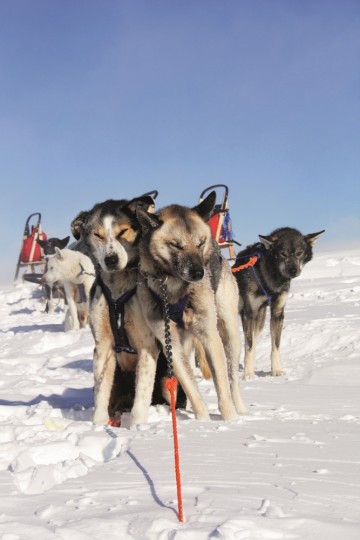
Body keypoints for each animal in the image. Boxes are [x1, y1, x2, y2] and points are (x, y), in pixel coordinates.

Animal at [129, 192, 248, 428]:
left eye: (200, 242)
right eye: (176, 245)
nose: (198, 273)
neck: (174, 288)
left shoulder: (209, 335)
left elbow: (222, 385)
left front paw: (229, 421)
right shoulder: (170, 342)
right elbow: (192, 389)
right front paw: (202, 422)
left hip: (229, 332)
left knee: (232, 379)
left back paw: (240, 409)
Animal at [232, 228, 324, 380]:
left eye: (299, 253)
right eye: (283, 254)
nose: (293, 270)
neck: (271, 277)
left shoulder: (277, 313)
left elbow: (275, 346)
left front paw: (276, 370)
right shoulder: (250, 313)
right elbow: (249, 347)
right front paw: (248, 374)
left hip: (259, 321)